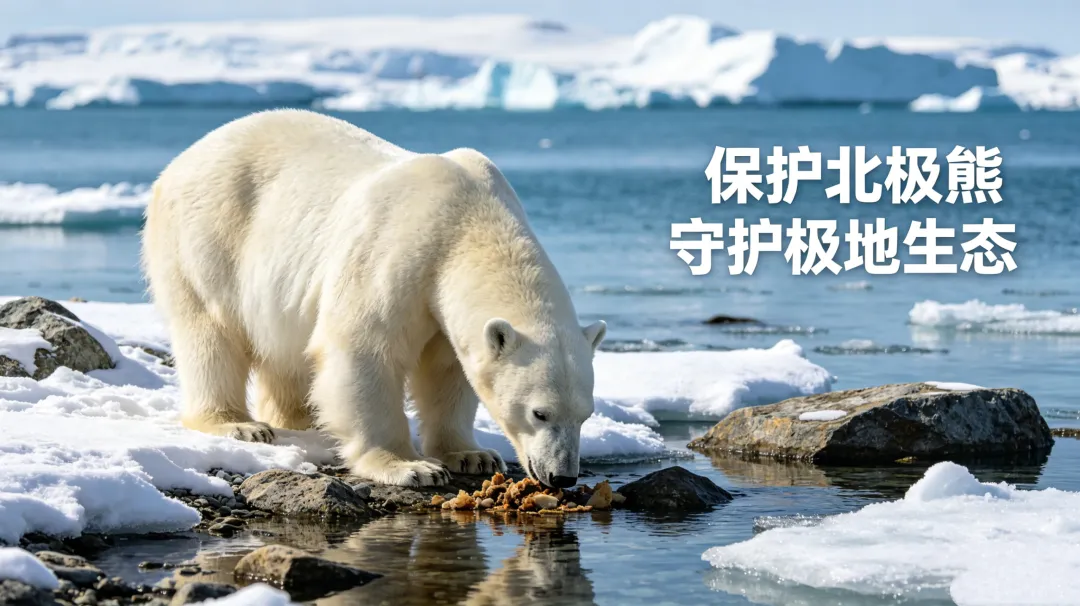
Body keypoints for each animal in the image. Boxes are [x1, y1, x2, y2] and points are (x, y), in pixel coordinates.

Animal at [142, 109, 606, 488]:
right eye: (539, 413)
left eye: (585, 413)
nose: (562, 476)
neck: (469, 222)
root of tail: (179, 162)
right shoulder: (394, 255)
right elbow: (366, 352)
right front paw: (410, 466)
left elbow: (447, 371)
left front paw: (472, 455)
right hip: (208, 240)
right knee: (211, 334)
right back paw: (238, 425)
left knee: (283, 351)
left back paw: (301, 418)